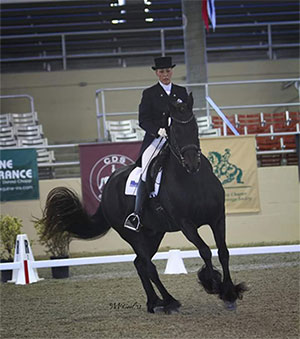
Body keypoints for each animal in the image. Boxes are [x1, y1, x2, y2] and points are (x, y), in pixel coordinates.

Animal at [44, 94, 246, 314]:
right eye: (175, 131)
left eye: (195, 127)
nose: (192, 163)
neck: (193, 180)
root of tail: (107, 187)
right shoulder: (186, 225)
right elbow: (205, 251)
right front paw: (213, 284)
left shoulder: (217, 218)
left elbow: (223, 252)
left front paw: (230, 293)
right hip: (133, 235)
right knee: (148, 266)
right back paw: (169, 301)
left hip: (153, 233)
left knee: (140, 264)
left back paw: (154, 302)